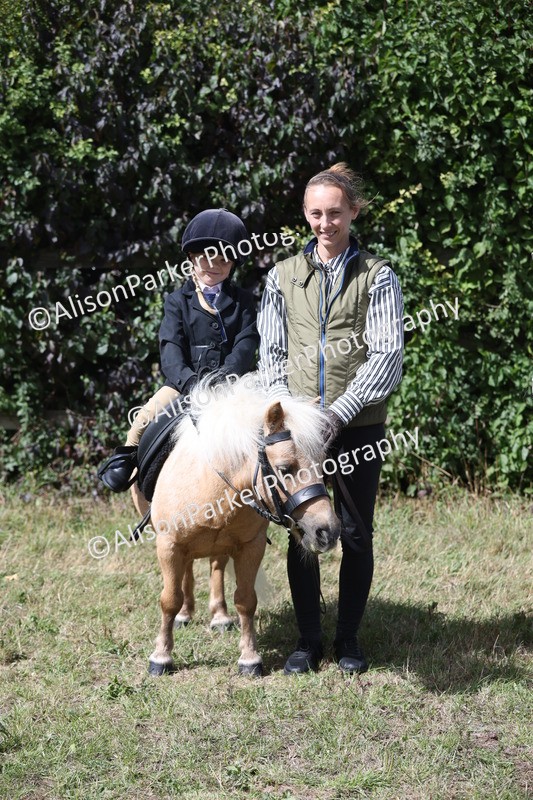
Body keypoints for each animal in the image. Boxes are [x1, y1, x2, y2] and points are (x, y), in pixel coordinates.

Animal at [131, 374, 341, 676]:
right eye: (285, 468)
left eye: (323, 464)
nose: (328, 531)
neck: (211, 483)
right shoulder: (169, 545)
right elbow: (169, 599)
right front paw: (161, 657)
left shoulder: (251, 546)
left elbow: (245, 600)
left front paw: (250, 658)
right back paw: (185, 614)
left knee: (215, 566)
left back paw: (219, 616)